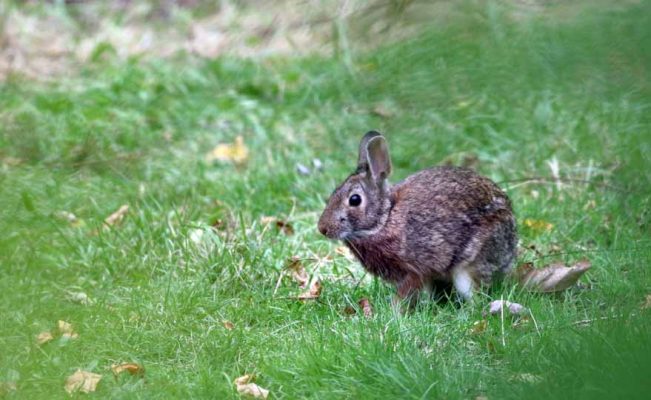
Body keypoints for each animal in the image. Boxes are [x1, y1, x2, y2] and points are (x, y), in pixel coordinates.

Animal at [317, 131, 517, 303]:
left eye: (355, 200)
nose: (323, 228)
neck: (385, 218)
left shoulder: (415, 270)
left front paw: (396, 312)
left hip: (471, 264)